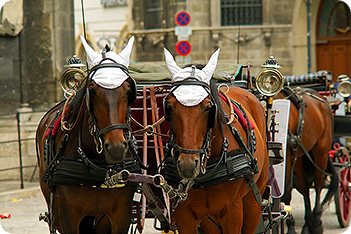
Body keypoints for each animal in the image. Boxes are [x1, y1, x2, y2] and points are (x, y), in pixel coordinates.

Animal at [162, 48, 270, 233]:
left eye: (208, 107)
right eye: (169, 106)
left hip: (253, 202)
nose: (187, 165)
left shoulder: (233, 213)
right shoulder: (184, 215)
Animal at [276, 88, 340, 234]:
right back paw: (307, 224)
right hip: (300, 156)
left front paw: (291, 228)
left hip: (321, 150)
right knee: (304, 185)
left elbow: (286, 192)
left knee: (318, 183)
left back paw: (316, 221)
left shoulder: (286, 157)